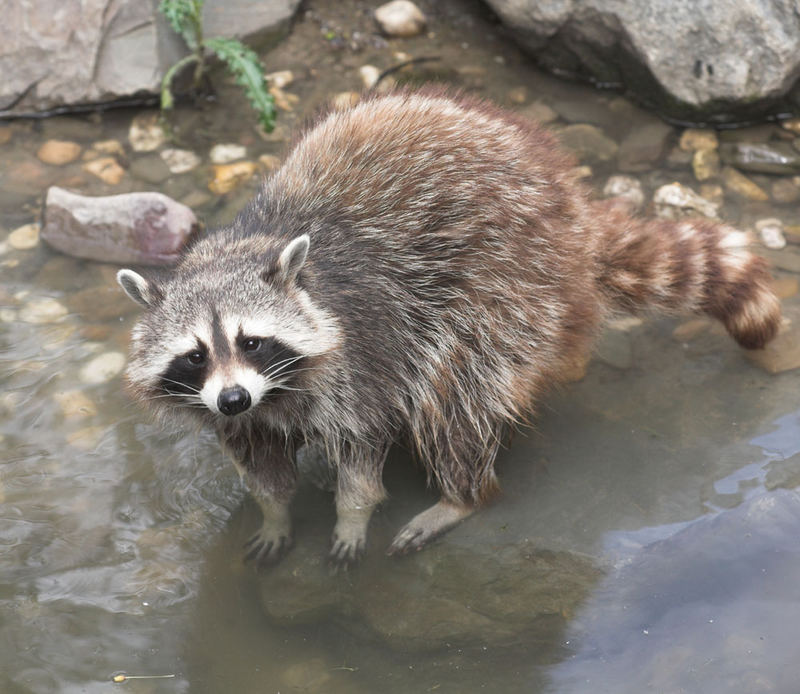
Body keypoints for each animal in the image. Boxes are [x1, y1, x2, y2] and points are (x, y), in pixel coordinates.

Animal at [119, 87, 780, 568]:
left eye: (251, 341)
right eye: (195, 355)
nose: (232, 397)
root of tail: (572, 212)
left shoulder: (366, 349)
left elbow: (364, 444)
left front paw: (352, 513)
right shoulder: (238, 412)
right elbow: (260, 464)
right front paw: (274, 513)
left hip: (510, 283)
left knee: (457, 394)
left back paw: (461, 495)